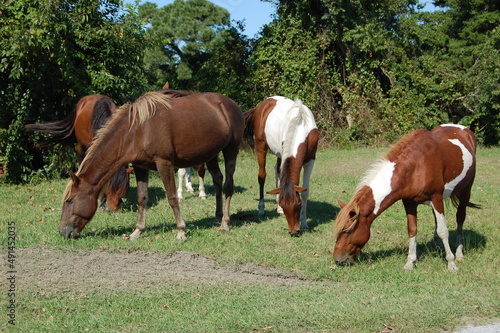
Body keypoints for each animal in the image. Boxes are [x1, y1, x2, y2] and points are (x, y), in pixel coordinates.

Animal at [60, 91, 244, 240]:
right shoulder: (140, 167)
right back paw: (217, 216)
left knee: (228, 185)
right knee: (218, 180)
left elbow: (172, 198)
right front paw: (137, 231)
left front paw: (181, 231)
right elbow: (142, 198)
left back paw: (225, 222)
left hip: (230, 151)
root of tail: (229, 104)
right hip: (212, 155)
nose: (63, 232)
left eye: (69, 200)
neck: (137, 130)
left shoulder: (164, 164)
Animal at [243, 95, 320, 236]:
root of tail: (264, 104)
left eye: (298, 204)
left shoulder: (311, 160)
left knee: (277, 172)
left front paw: (304, 224)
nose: (294, 231)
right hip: (261, 147)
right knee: (262, 176)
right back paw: (261, 209)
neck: (300, 126)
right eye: (285, 207)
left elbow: (305, 191)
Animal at [334, 124, 478, 270]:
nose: (338, 260)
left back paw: (459, 252)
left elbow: (443, 231)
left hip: (466, 190)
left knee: (460, 217)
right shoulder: (409, 202)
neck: (416, 166)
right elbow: (412, 230)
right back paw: (438, 246)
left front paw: (451, 263)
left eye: (346, 231)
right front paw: (410, 262)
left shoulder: (436, 198)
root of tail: (464, 129)